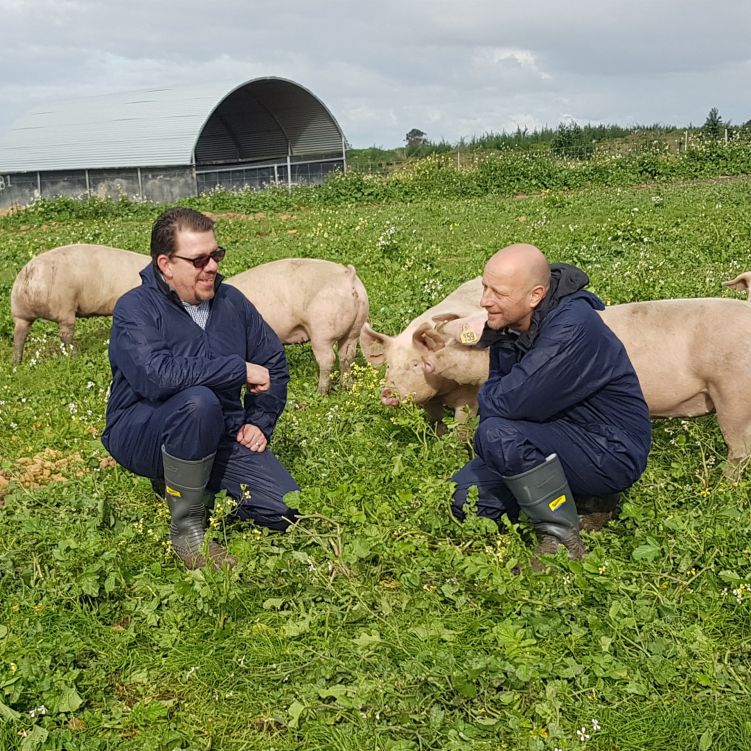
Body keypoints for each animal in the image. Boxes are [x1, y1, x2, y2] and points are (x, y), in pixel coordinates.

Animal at [11, 244, 150, 362]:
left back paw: (17, 363)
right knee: (65, 333)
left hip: (19, 313)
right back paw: (76, 356)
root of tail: (30, 272)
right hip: (64, 306)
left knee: (19, 336)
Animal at [226, 258, 369, 394]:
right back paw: (346, 387)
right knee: (347, 356)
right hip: (355, 327)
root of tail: (348, 276)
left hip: (322, 331)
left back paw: (320, 392)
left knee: (328, 359)